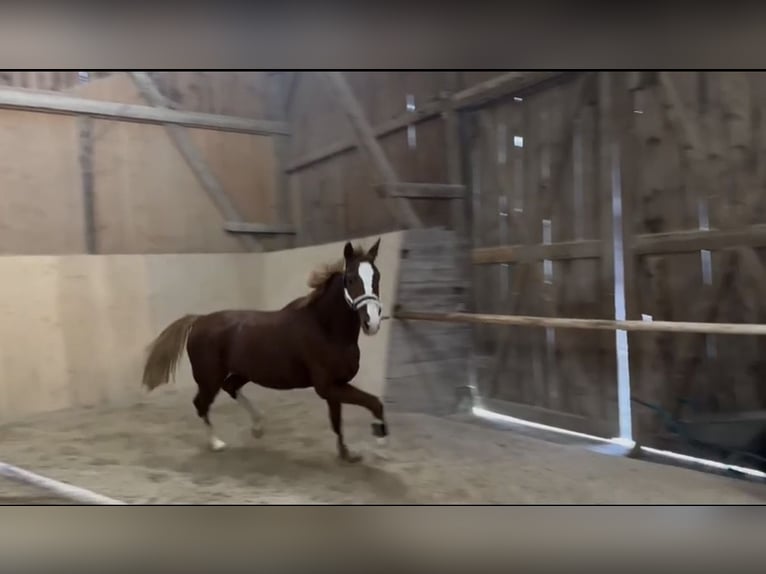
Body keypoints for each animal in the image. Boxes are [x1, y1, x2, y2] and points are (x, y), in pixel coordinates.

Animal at [140, 238, 387, 463]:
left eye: (377, 277)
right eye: (351, 278)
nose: (372, 323)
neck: (325, 328)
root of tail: (199, 320)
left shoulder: (335, 386)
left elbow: (337, 421)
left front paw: (347, 453)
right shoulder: (327, 387)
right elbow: (374, 402)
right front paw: (380, 436)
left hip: (243, 372)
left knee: (229, 388)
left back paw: (258, 427)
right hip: (209, 378)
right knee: (201, 404)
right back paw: (216, 443)